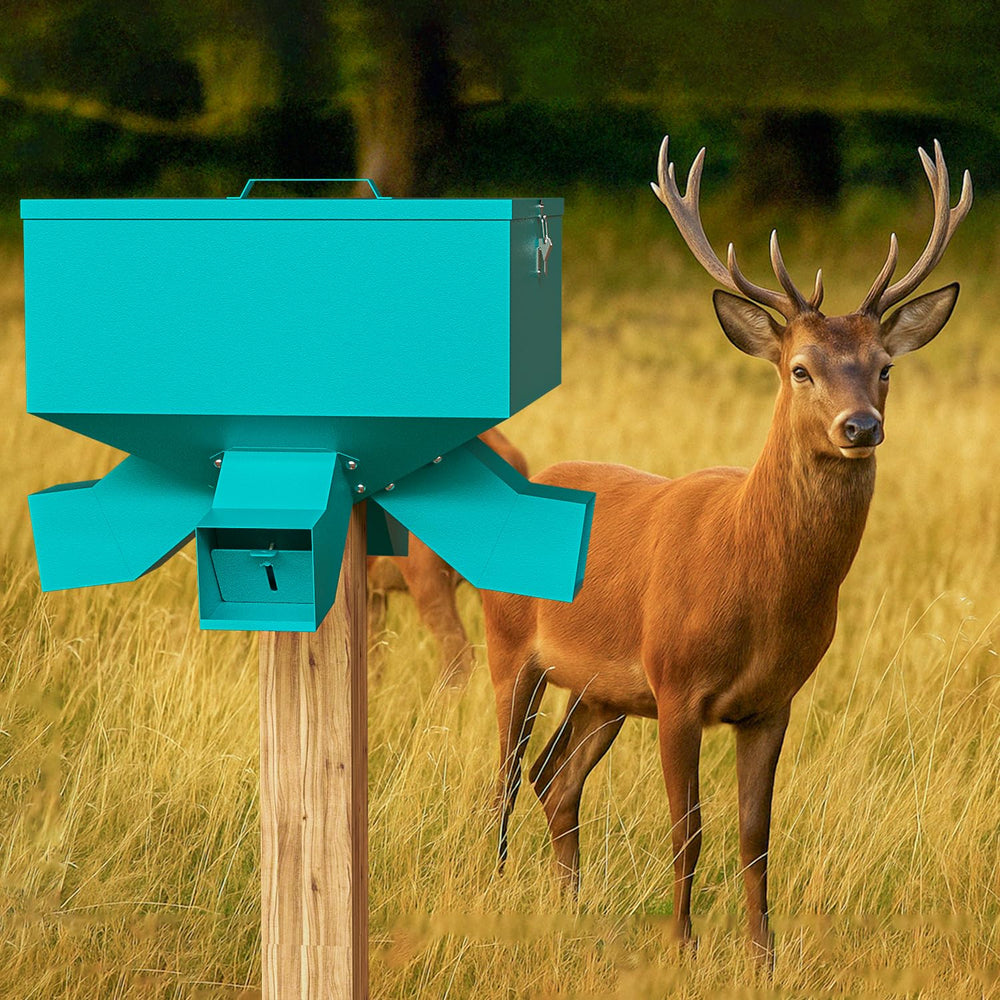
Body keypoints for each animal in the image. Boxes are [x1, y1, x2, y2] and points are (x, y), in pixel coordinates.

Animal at [481, 137, 971, 964]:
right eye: (801, 368)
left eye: (885, 366)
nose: (860, 426)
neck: (753, 582)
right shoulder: (677, 684)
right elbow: (689, 831)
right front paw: (682, 949)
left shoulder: (772, 701)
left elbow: (754, 836)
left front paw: (762, 957)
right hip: (513, 645)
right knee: (508, 779)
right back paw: (494, 887)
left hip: (603, 691)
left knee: (557, 779)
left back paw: (571, 908)